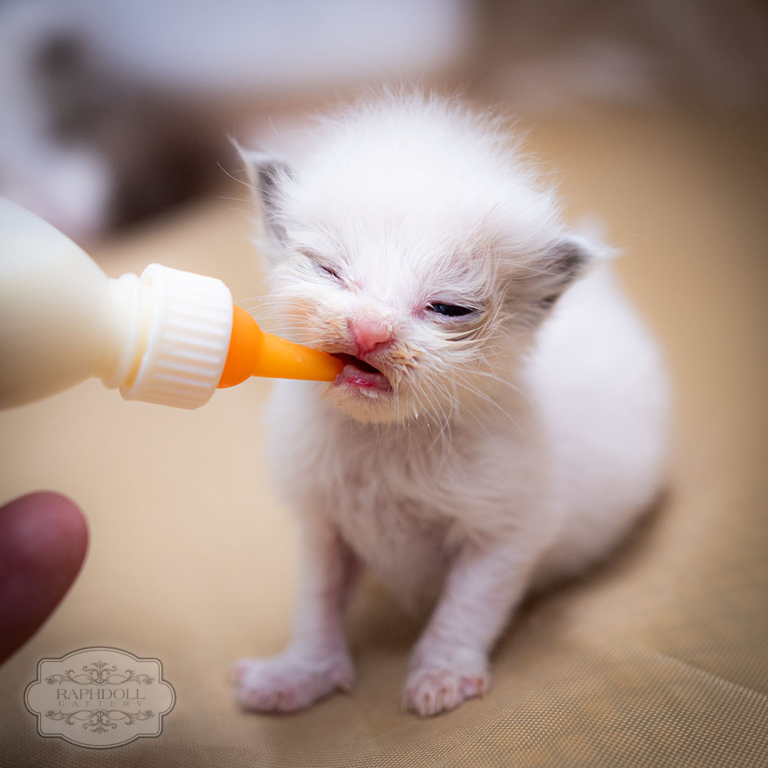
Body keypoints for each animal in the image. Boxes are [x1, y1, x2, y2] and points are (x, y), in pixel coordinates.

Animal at [231, 93, 668, 716]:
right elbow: (316, 603)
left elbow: (466, 607)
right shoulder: (322, 524)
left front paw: (442, 675)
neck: (385, 438)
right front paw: (298, 674)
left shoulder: (507, 531)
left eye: (449, 308)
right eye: (329, 270)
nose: (369, 331)